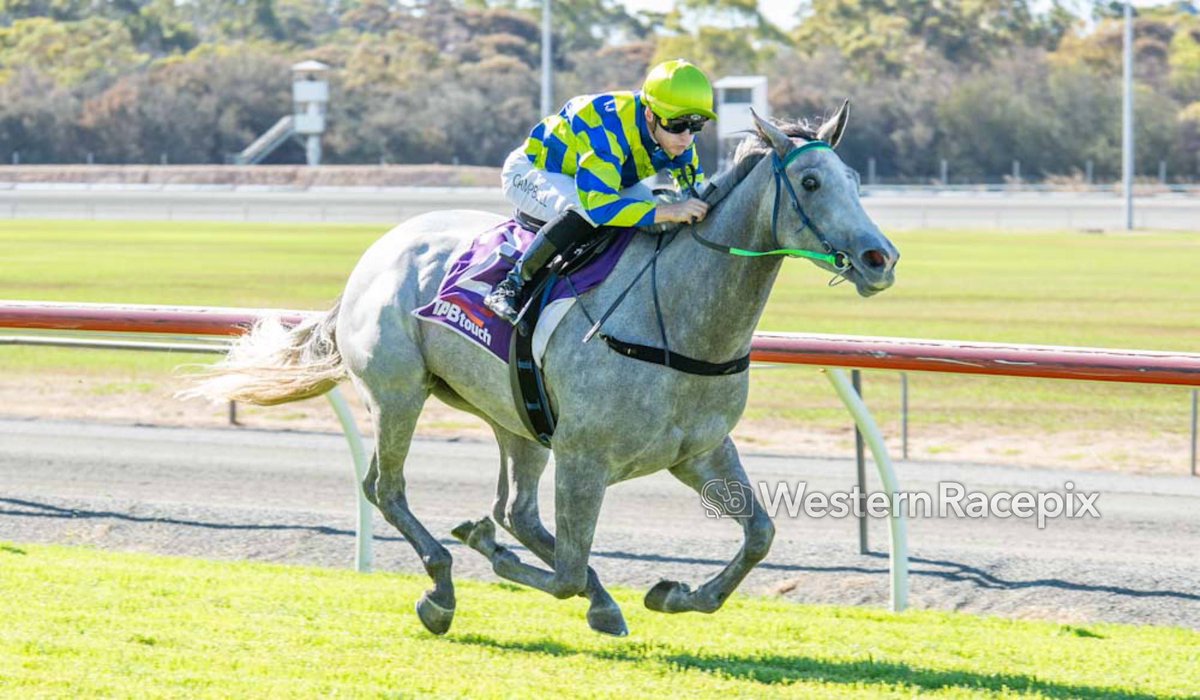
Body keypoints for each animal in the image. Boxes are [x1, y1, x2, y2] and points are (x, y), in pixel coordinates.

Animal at [187, 106, 897, 638]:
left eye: (855, 179)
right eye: (811, 184)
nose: (880, 258)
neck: (676, 318)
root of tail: (377, 253)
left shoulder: (699, 449)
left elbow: (759, 535)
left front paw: (674, 593)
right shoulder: (586, 458)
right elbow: (567, 573)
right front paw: (496, 557)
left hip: (517, 417)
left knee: (517, 511)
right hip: (399, 394)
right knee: (387, 490)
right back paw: (442, 586)